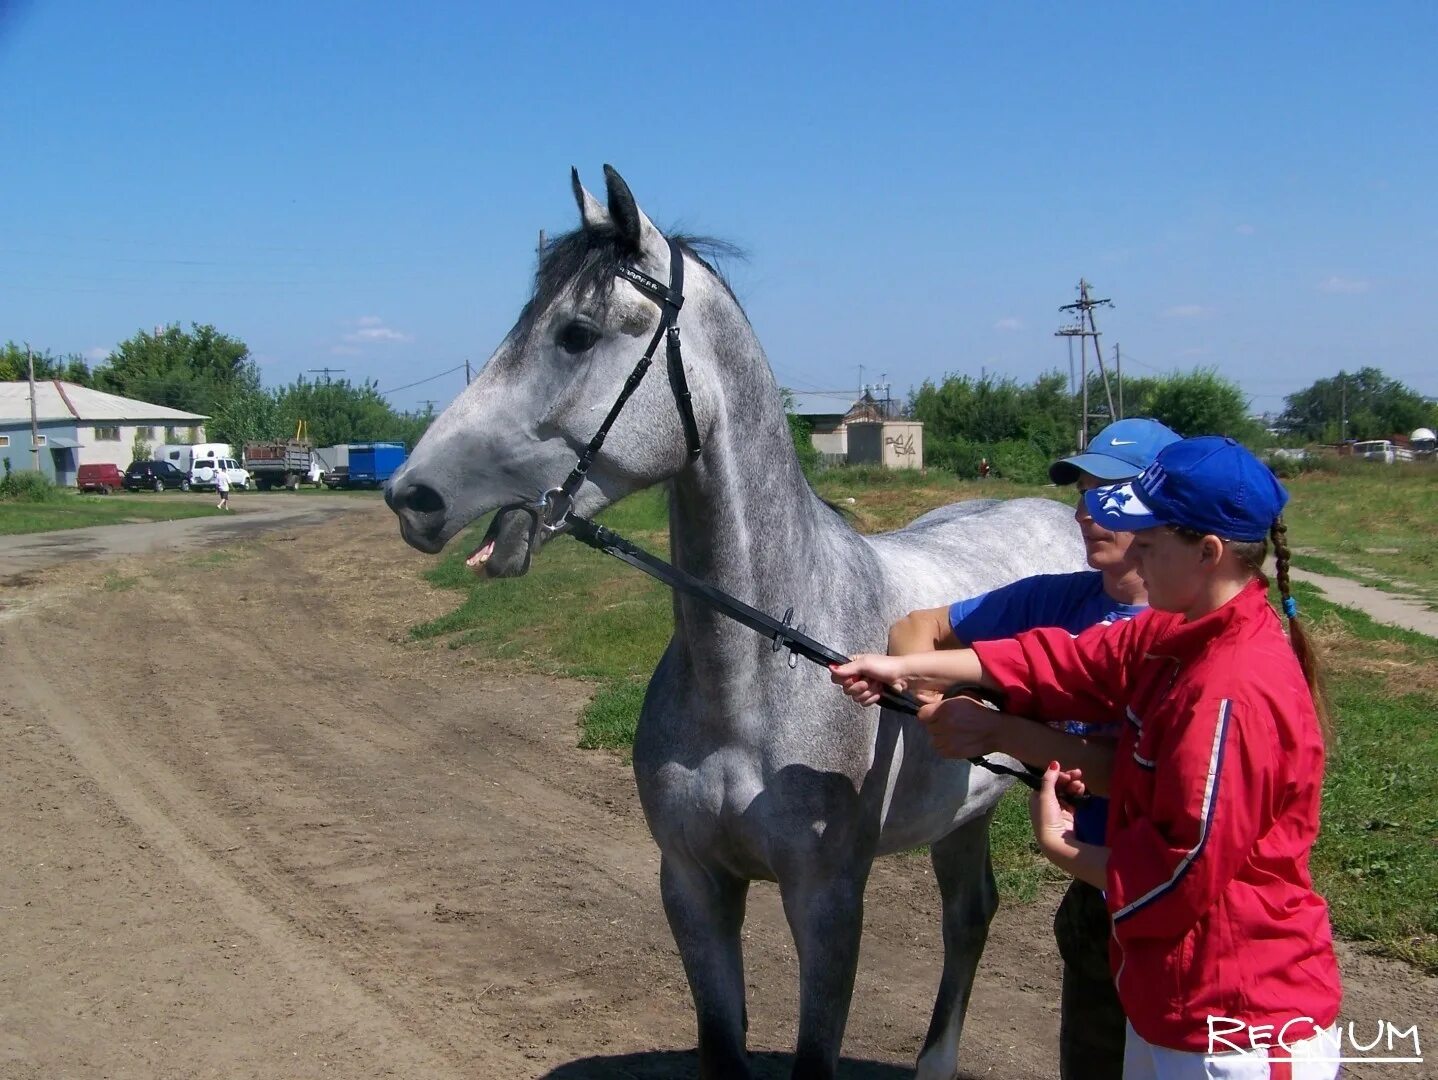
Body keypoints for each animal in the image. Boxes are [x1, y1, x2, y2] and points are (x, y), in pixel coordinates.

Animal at [388, 164, 1081, 1075]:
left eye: (576, 334)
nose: (413, 497)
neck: (763, 662)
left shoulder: (827, 902)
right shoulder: (692, 885)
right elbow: (722, 1040)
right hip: (963, 812)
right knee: (970, 914)